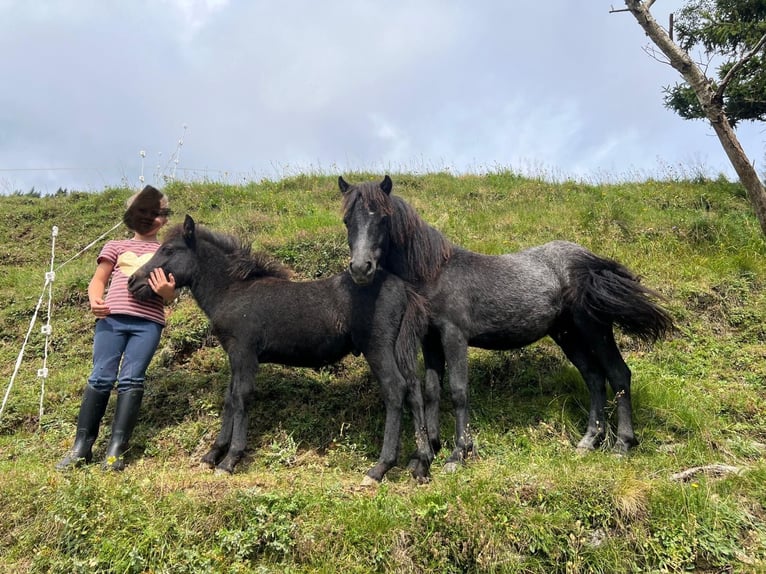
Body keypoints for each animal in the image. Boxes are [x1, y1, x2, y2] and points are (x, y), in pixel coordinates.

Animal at [129, 216, 436, 486]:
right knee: (413, 389)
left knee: (395, 389)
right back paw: (422, 463)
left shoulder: (244, 352)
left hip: (377, 347)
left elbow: (241, 397)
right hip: (399, 347)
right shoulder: (234, 356)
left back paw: (380, 468)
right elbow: (229, 398)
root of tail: (402, 287)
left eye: (168, 250)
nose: (133, 282)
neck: (231, 291)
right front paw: (211, 455)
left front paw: (230, 460)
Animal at [340, 176, 676, 472]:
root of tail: (592, 261)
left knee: (618, 375)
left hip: (594, 330)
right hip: (567, 335)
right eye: (347, 221)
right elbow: (433, 390)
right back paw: (588, 441)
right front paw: (429, 452)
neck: (435, 272)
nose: (360, 269)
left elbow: (458, 390)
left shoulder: (454, 336)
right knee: (594, 378)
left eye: (383, 218)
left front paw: (457, 454)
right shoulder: (431, 340)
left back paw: (621, 445)